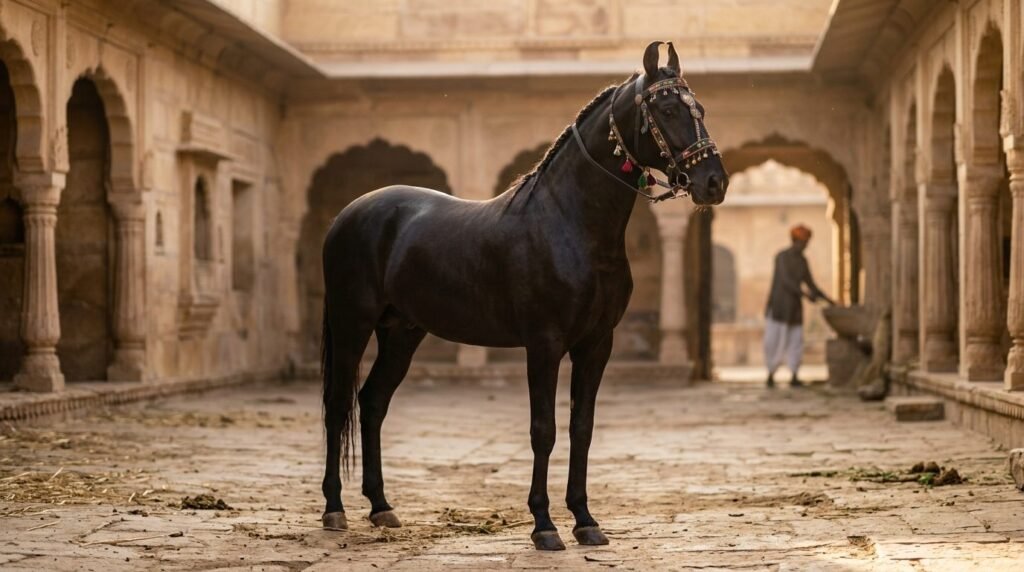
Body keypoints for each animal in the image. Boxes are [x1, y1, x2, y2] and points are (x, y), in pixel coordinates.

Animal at [320, 41, 729, 551]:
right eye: (668, 109)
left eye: (702, 109)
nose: (714, 182)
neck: (570, 223)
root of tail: (348, 214)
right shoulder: (544, 343)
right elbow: (544, 430)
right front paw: (544, 525)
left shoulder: (597, 344)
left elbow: (581, 428)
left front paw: (585, 520)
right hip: (352, 322)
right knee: (339, 405)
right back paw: (334, 509)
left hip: (402, 331)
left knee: (373, 402)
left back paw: (381, 508)